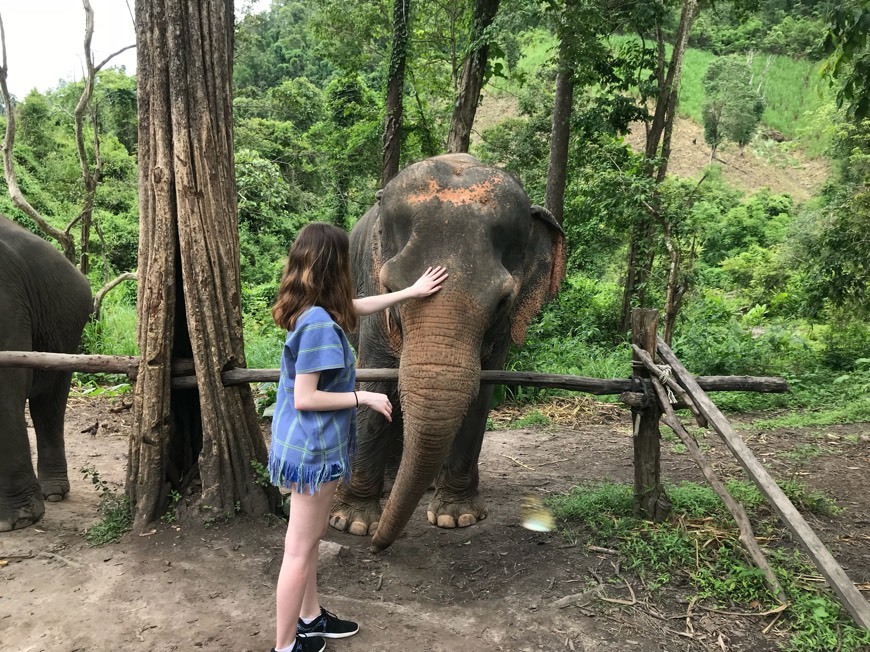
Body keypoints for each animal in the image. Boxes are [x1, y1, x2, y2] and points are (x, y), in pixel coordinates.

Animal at [330, 153, 568, 552]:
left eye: (503, 301)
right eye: (390, 288)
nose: (378, 547)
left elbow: (483, 388)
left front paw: (457, 517)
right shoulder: (370, 289)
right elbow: (376, 380)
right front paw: (352, 524)